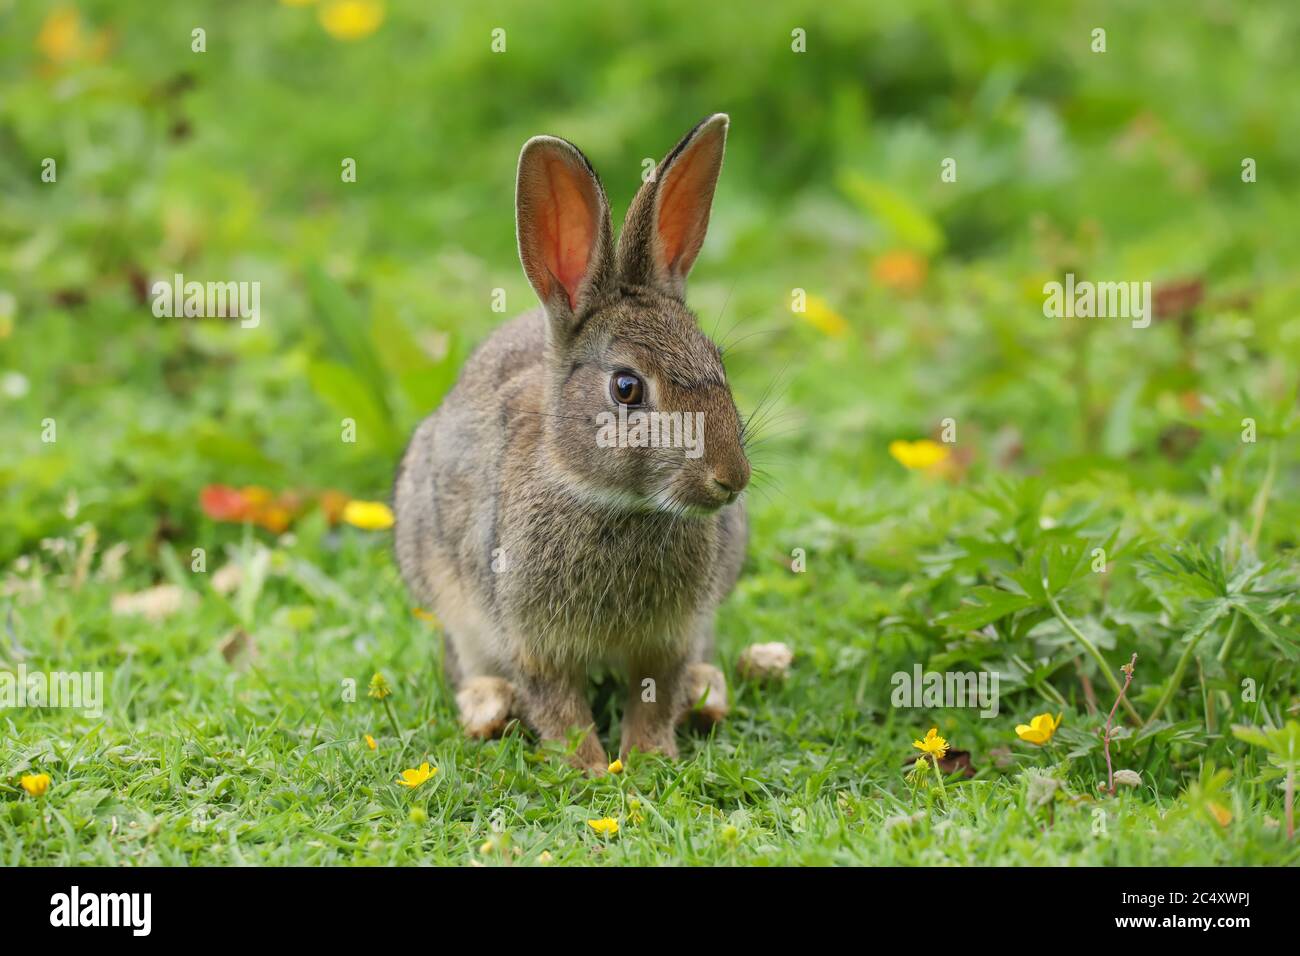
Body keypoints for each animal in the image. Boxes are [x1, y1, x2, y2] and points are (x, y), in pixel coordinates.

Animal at [390, 113, 748, 770]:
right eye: (627, 388)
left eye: (719, 364)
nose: (730, 478)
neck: (612, 502)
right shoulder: (530, 639)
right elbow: (558, 704)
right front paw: (587, 767)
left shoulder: (673, 637)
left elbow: (655, 693)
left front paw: (646, 758)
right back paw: (486, 707)